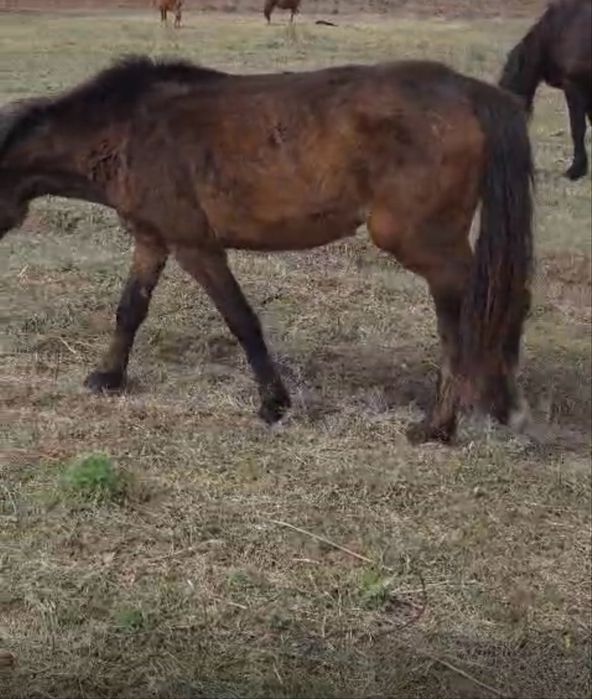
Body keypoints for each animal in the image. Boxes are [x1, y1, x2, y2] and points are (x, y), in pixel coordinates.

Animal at [0, 56, 534, 444]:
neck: (129, 129)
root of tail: (467, 90)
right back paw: (497, 406)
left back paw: (442, 425)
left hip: (422, 242)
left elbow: (241, 320)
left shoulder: (196, 246)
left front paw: (274, 403)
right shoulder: (152, 240)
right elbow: (130, 310)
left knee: (479, 307)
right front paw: (107, 378)